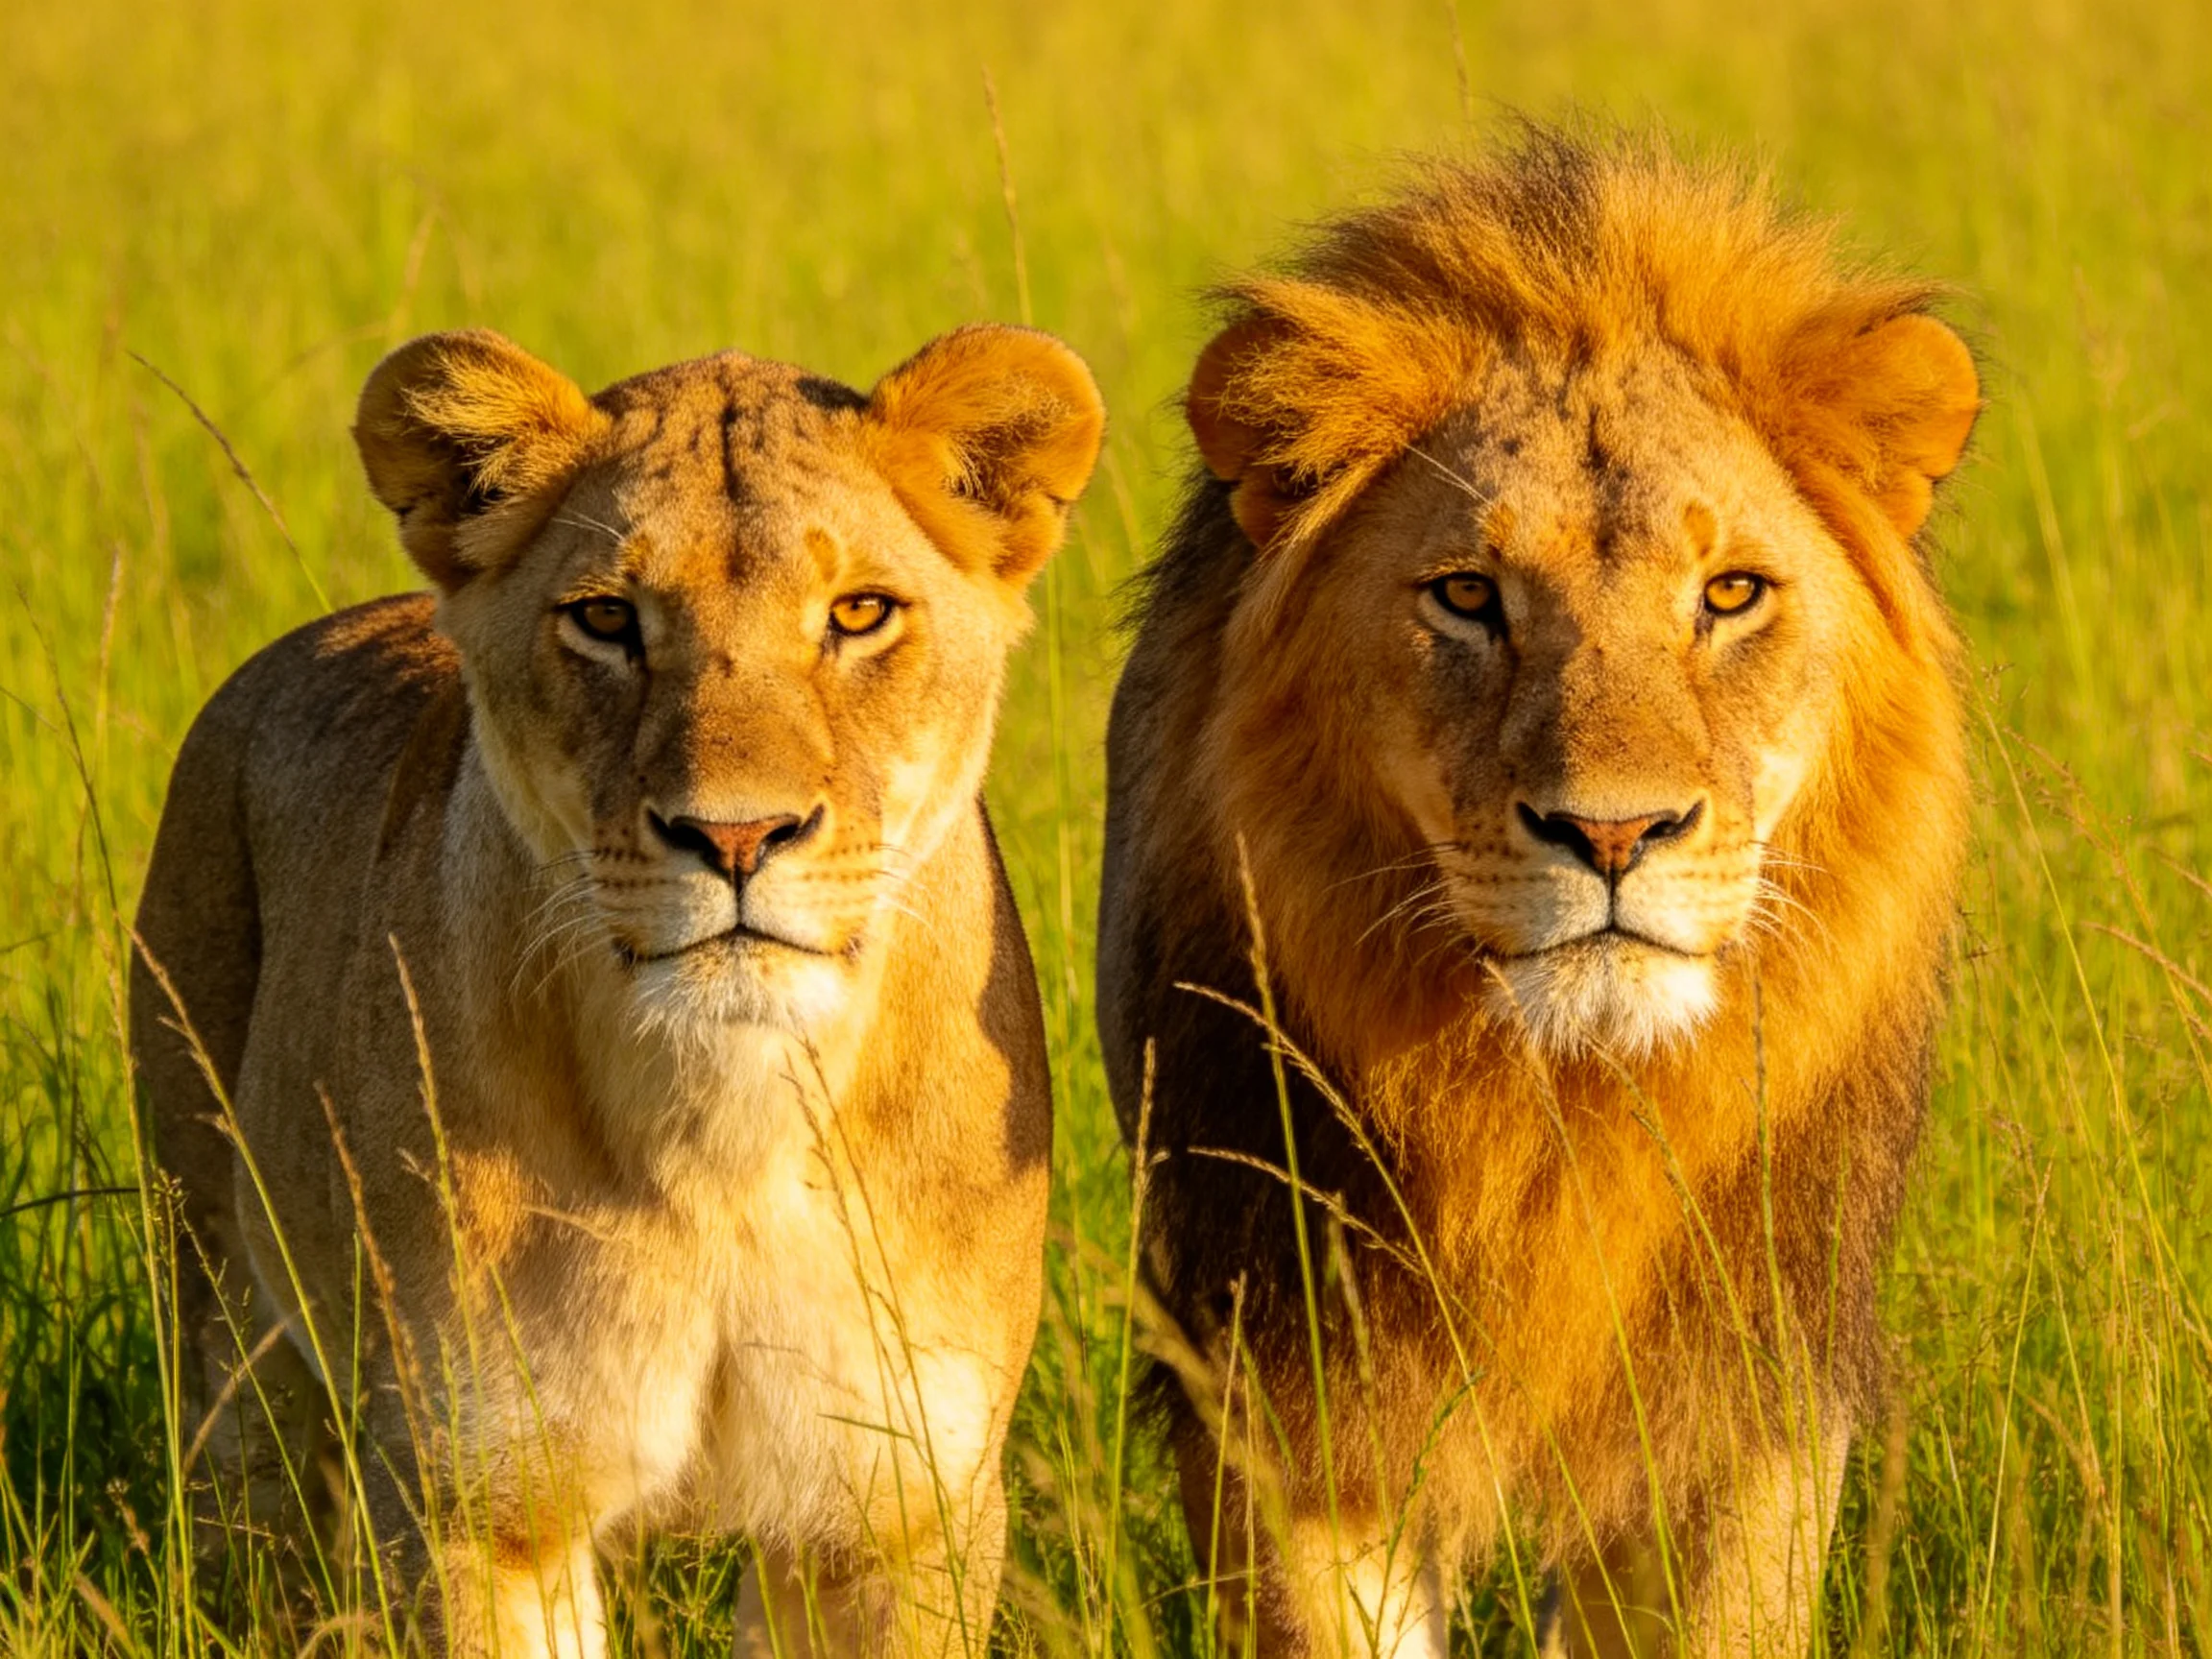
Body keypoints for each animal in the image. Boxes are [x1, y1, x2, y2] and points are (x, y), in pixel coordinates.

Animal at [130, 322, 1103, 1657]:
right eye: (605, 618)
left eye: (859, 612)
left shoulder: (899, 1516)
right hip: (227, 1314)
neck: (728, 1125)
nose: (736, 836)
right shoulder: (479, 1505)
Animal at [1098, 131, 1978, 1658]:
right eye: (1467, 596)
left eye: (1731, 593)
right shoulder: (1290, 1403)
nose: (1613, 832)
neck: (1566, 1116)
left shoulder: (1753, 1411)